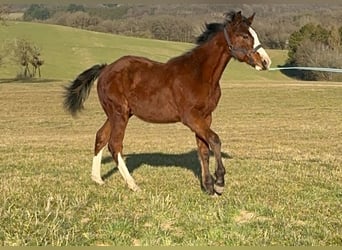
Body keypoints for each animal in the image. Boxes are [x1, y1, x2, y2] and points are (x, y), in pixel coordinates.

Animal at [64, 11, 272, 195]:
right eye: (244, 36)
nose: (266, 61)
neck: (199, 74)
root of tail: (106, 69)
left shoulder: (206, 116)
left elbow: (203, 149)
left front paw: (208, 187)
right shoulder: (190, 117)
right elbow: (214, 140)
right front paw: (219, 183)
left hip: (118, 114)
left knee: (101, 136)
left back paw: (97, 179)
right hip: (119, 113)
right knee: (115, 144)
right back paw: (133, 185)